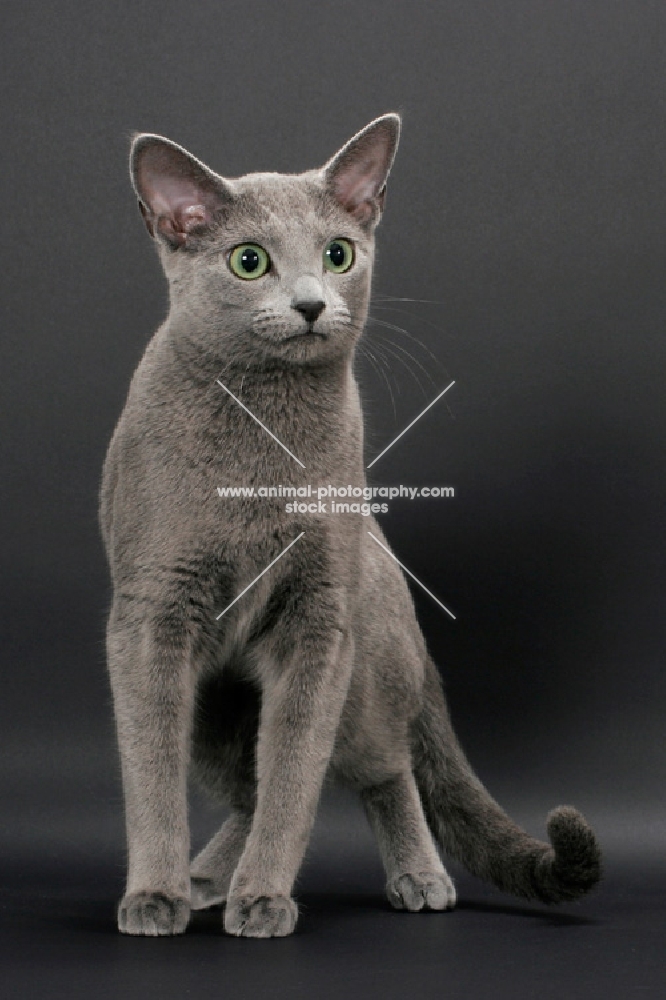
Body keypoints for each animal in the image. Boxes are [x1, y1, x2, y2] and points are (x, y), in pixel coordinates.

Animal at [100, 115, 600, 936]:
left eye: (338, 254)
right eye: (248, 261)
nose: (310, 304)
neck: (264, 442)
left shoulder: (320, 617)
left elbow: (295, 771)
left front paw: (265, 898)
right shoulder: (152, 614)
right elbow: (153, 767)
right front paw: (156, 894)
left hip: (364, 679)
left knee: (382, 766)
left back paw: (416, 877)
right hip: (215, 716)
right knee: (246, 786)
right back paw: (205, 878)